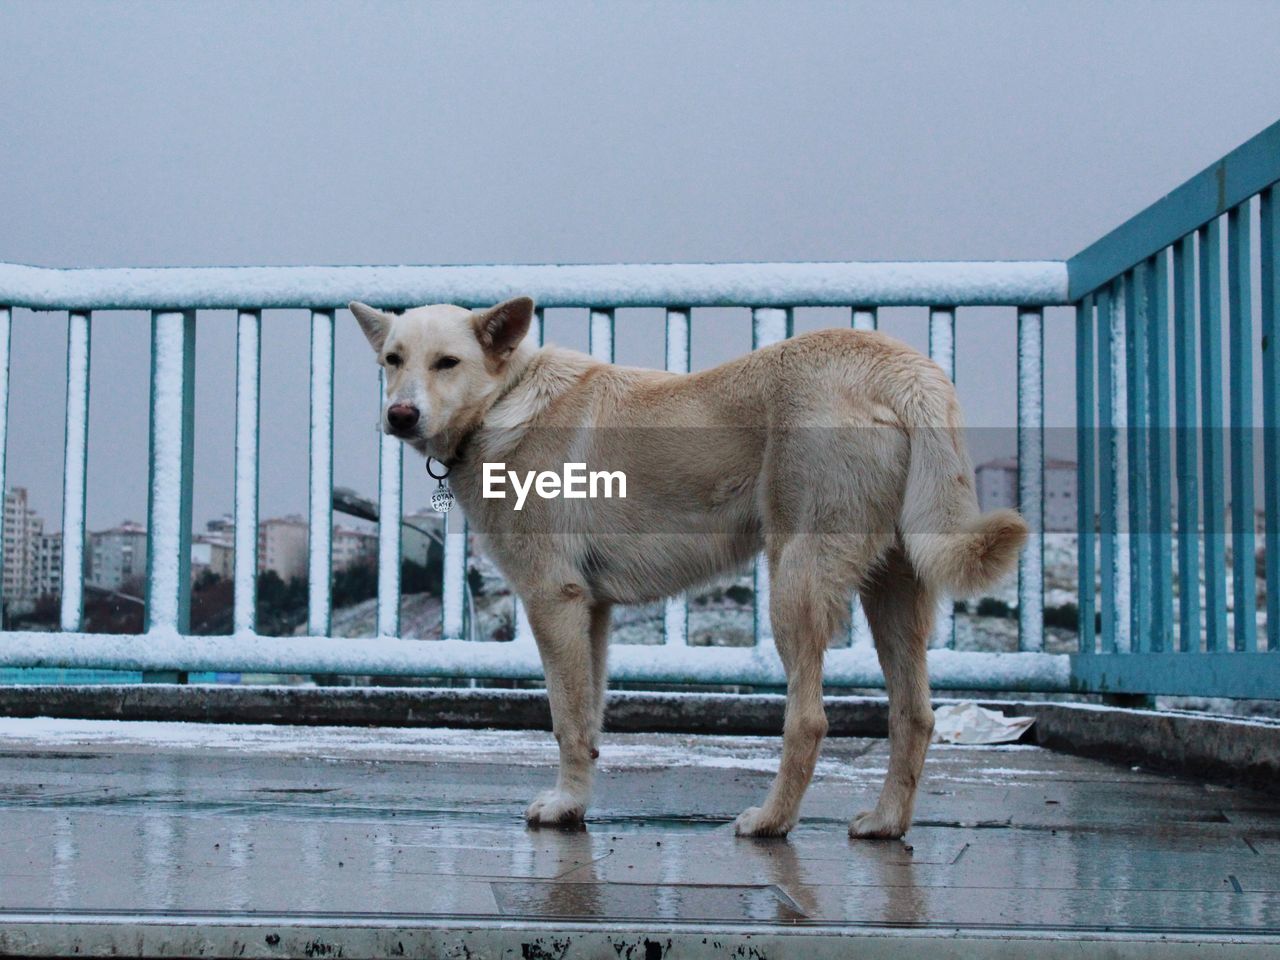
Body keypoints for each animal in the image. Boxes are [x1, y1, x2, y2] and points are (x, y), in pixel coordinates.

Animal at [350, 296, 1029, 839]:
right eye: (392, 360)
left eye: (447, 363)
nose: (400, 415)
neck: (505, 401)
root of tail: (901, 367)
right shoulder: (592, 612)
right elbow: (590, 721)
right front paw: (578, 804)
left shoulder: (552, 600)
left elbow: (566, 719)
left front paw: (563, 807)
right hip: (894, 594)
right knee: (914, 716)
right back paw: (886, 823)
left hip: (794, 586)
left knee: (809, 721)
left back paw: (771, 821)